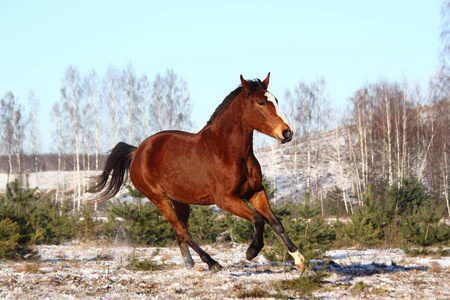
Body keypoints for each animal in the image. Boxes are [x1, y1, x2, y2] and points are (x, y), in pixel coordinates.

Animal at [87, 73, 306, 272]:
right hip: (159, 198)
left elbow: (275, 222)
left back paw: (190, 264)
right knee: (182, 230)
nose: (287, 133)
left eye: (275, 100)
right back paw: (212, 263)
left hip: (180, 201)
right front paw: (251, 252)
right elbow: (258, 219)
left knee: (179, 231)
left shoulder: (255, 192)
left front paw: (300, 261)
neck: (229, 151)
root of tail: (137, 151)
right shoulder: (225, 200)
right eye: (261, 102)